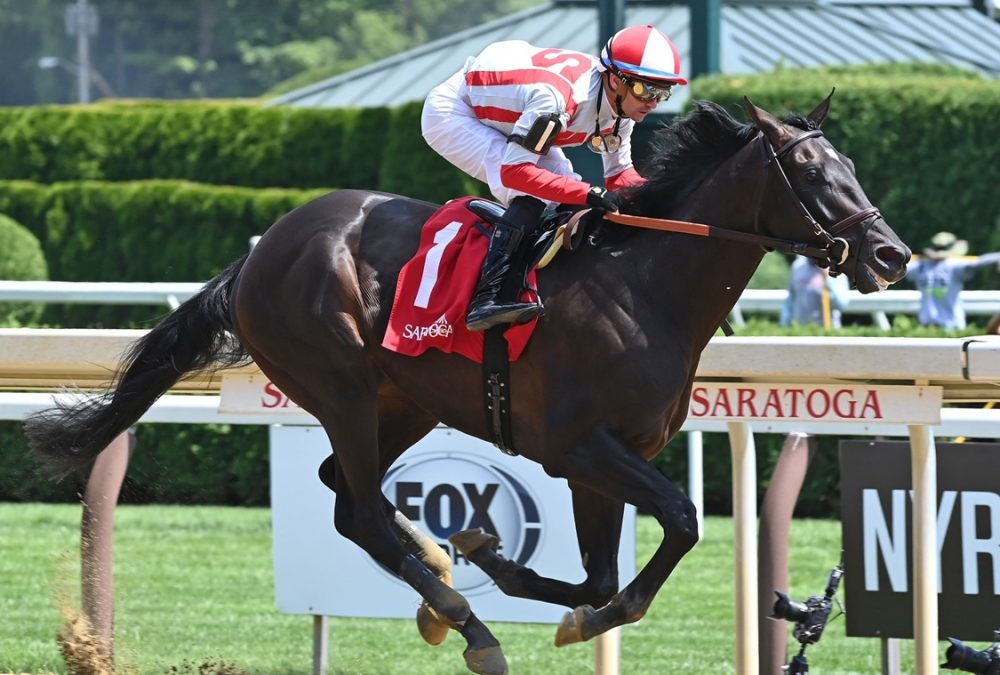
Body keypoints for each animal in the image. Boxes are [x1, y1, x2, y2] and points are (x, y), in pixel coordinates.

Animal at [27, 96, 912, 675]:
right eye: (810, 171)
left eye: (851, 165)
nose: (891, 255)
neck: (644, 286)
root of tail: (259, 252)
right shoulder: (577, 447)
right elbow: (683, 522)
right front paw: (537, 596)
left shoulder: (606, 458)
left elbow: (601, 578)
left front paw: (513, 569)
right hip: (342, 386)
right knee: (361, 510)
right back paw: (466, 623)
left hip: (405, 400)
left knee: (348, 497)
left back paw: (438, 576)